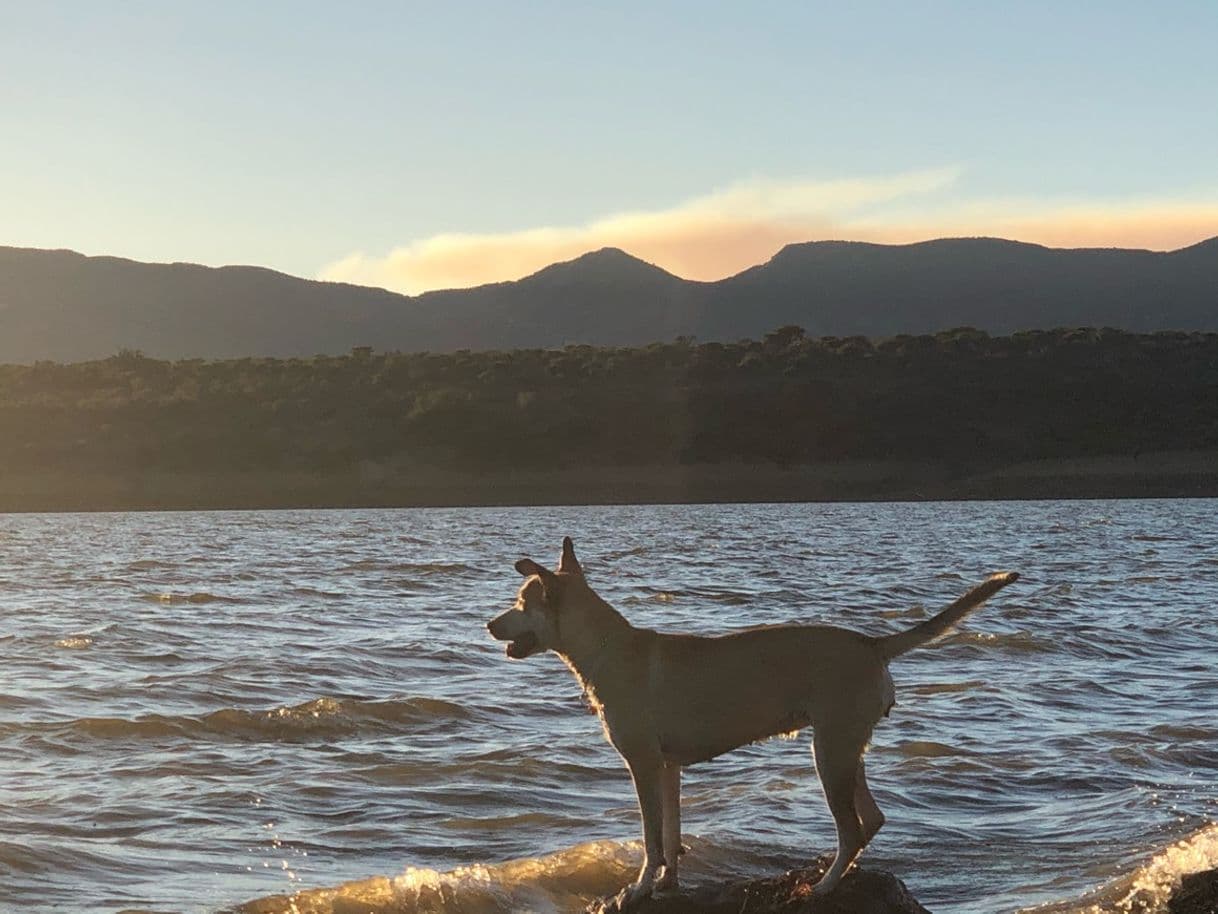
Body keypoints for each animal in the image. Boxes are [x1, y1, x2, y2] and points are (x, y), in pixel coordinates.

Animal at [484, 536, 1018, 911]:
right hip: (846, 748)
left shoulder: (642, 764)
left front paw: (637, 891)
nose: (489, 625)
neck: (604, 648)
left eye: (522, 603)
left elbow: (652, 839)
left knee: (851, 827)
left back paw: (823, 888)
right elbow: (673, 835)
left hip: (829, 753)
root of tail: (872, 644)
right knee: (871, 820)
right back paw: (836, 875)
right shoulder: (668, 768)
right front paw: (669, 885)